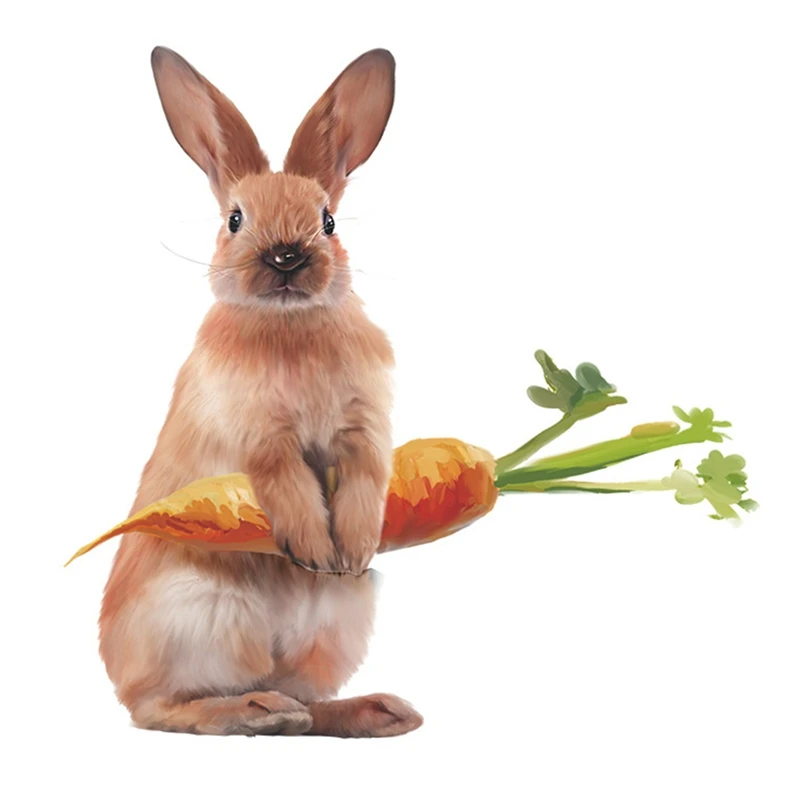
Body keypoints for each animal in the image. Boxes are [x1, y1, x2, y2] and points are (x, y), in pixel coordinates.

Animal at [97, 46, 423, 738]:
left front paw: (350, 550)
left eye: (328, 221)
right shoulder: (260, 436)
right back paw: (255, 711)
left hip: (335, 627)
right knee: (161, 708)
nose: (286, 257)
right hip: (204, 615)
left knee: (306, 701)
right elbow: (288, 483)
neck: (289, 325)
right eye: (234, 220)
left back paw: (376, 712)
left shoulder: (365, 427)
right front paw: (315, 549)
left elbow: (365, 477)